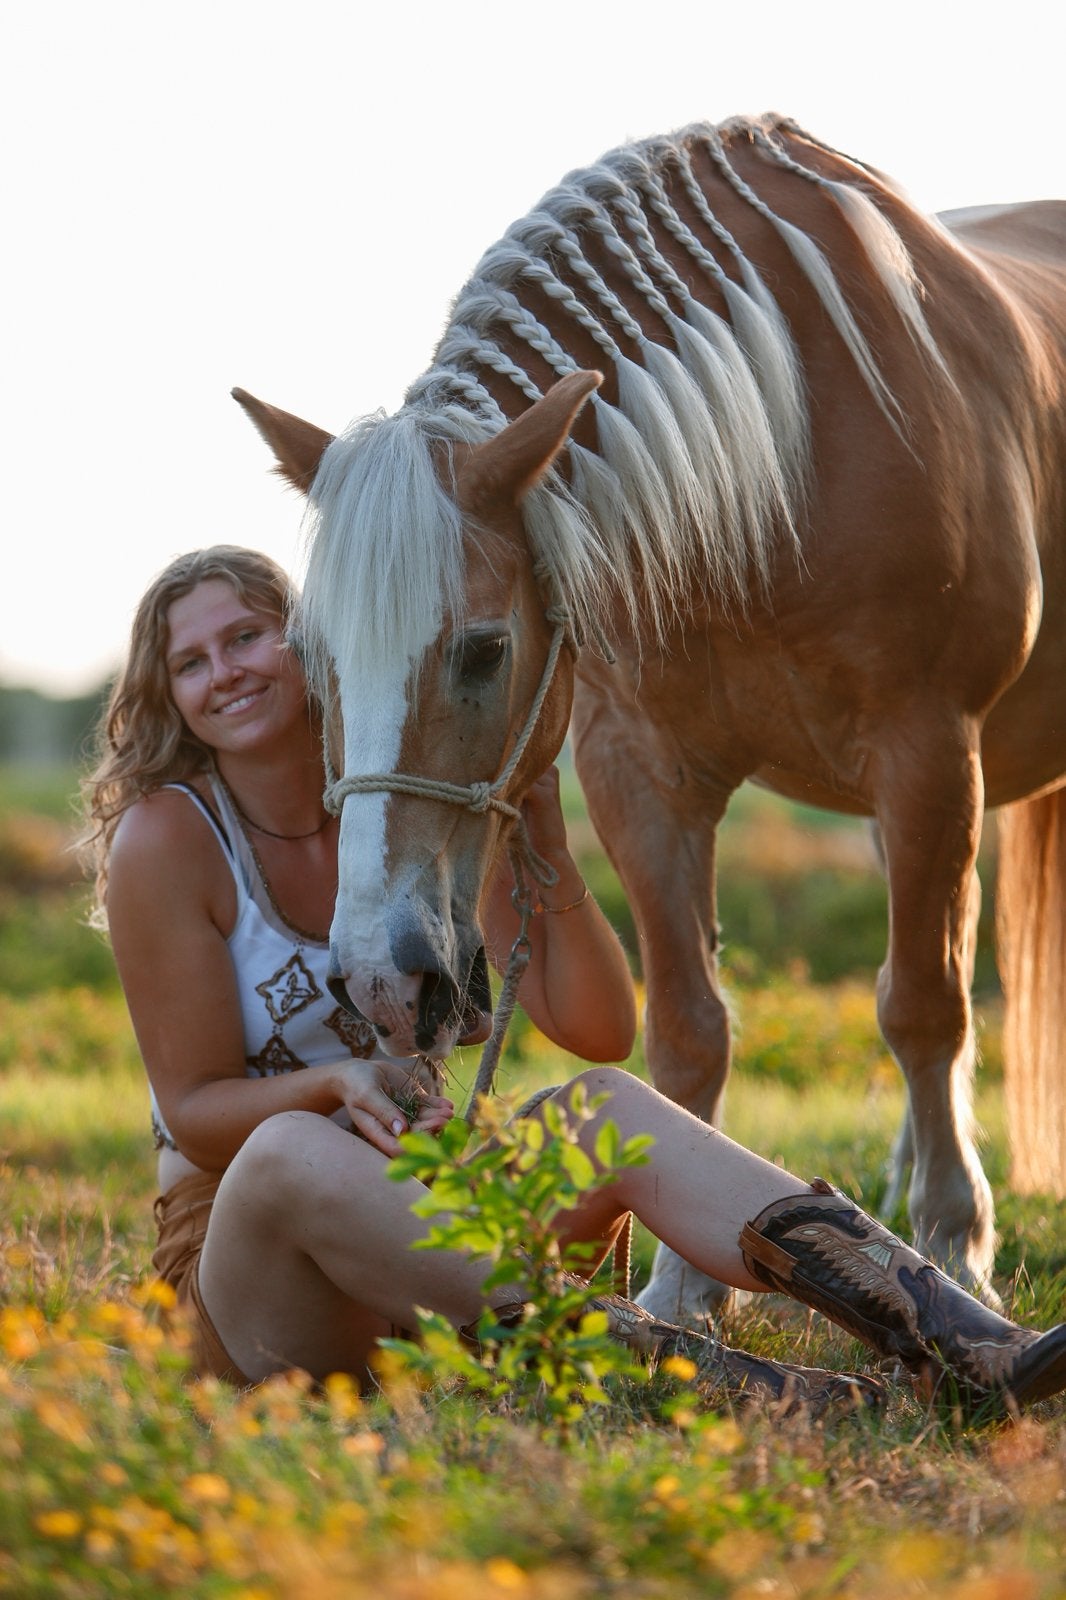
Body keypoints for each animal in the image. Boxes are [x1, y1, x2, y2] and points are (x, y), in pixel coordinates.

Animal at [234, 114, 1066, 1319]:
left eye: (486, 647)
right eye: (311, 663)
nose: (386, 983)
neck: (780, 463)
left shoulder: (927, 750)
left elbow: (923, 1006)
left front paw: (955, 1248)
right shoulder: (640, 771)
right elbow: (687, 1030)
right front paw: (684, 1290)